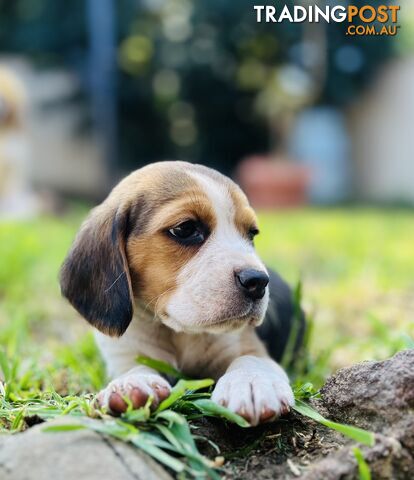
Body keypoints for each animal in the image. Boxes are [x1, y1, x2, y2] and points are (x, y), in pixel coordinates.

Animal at [59, 162, 302, 428]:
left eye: (252, 233)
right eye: (185, 228)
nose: (258, 281)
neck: (179, 332)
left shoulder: (247, 344)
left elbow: (251, 359)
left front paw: (251, 382)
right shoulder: (126, 354)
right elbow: (134, 369)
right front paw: (132, 384)